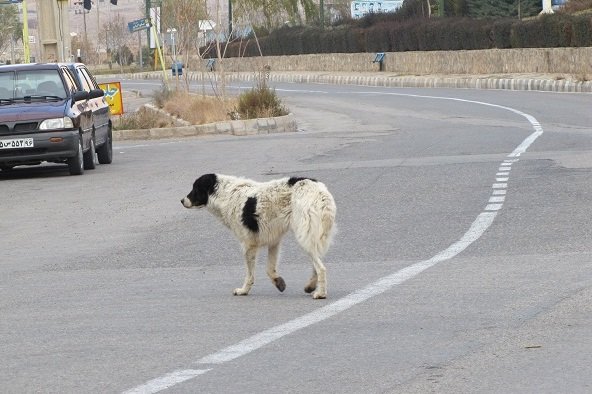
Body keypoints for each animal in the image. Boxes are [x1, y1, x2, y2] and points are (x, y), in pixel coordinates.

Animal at [180, 174, 336, 300]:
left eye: (195, 188)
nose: (181, 200)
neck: (225, 194)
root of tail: (321, 193)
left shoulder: (248, 245)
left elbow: (250, 275)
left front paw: (243, 291)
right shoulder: (274, 241)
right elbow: (270, 269)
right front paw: (278, 282)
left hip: (304, 236)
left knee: (321, 268)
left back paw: (320, 293)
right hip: (311, 237)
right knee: (316, 265)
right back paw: (311, 286)